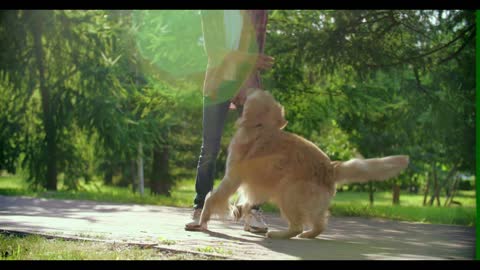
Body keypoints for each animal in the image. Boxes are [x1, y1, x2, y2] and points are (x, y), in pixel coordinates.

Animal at [187, 88, 408, 238]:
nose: (247, 87)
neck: (261, 128)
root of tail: (331, 167)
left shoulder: (232, 177)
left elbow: (212, 198)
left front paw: (203, 219)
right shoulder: (254, 183)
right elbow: (247, 199)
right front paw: (239, 209)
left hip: (288, 193)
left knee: (297, 226)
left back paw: (279, 234)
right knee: (319, 224)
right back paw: (308, 234)